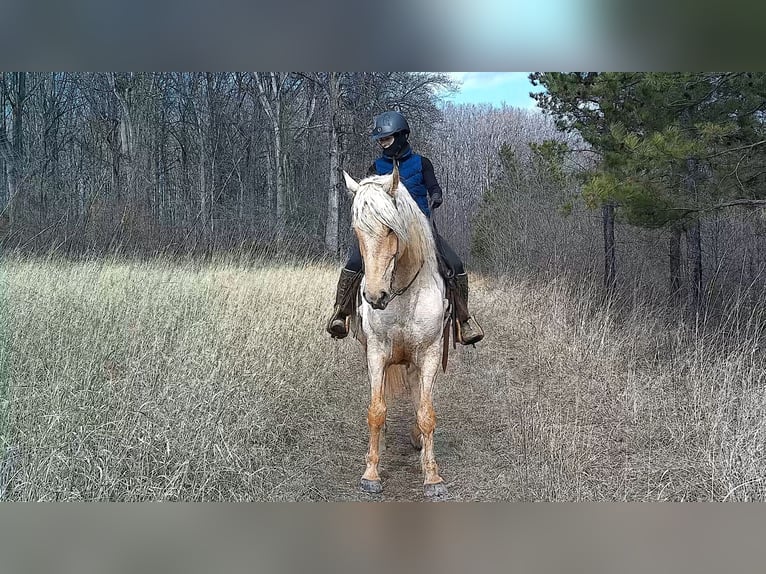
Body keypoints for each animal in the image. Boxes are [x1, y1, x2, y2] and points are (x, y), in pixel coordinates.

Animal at [343, 163, 450, 498]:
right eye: (357, 230)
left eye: (391, 229)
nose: (375, 296)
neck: (402, 290)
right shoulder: (376, 351)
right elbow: (376, 411)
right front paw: (371, 473)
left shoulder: (429, 353)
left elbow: (427, 412)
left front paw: (432, 477)